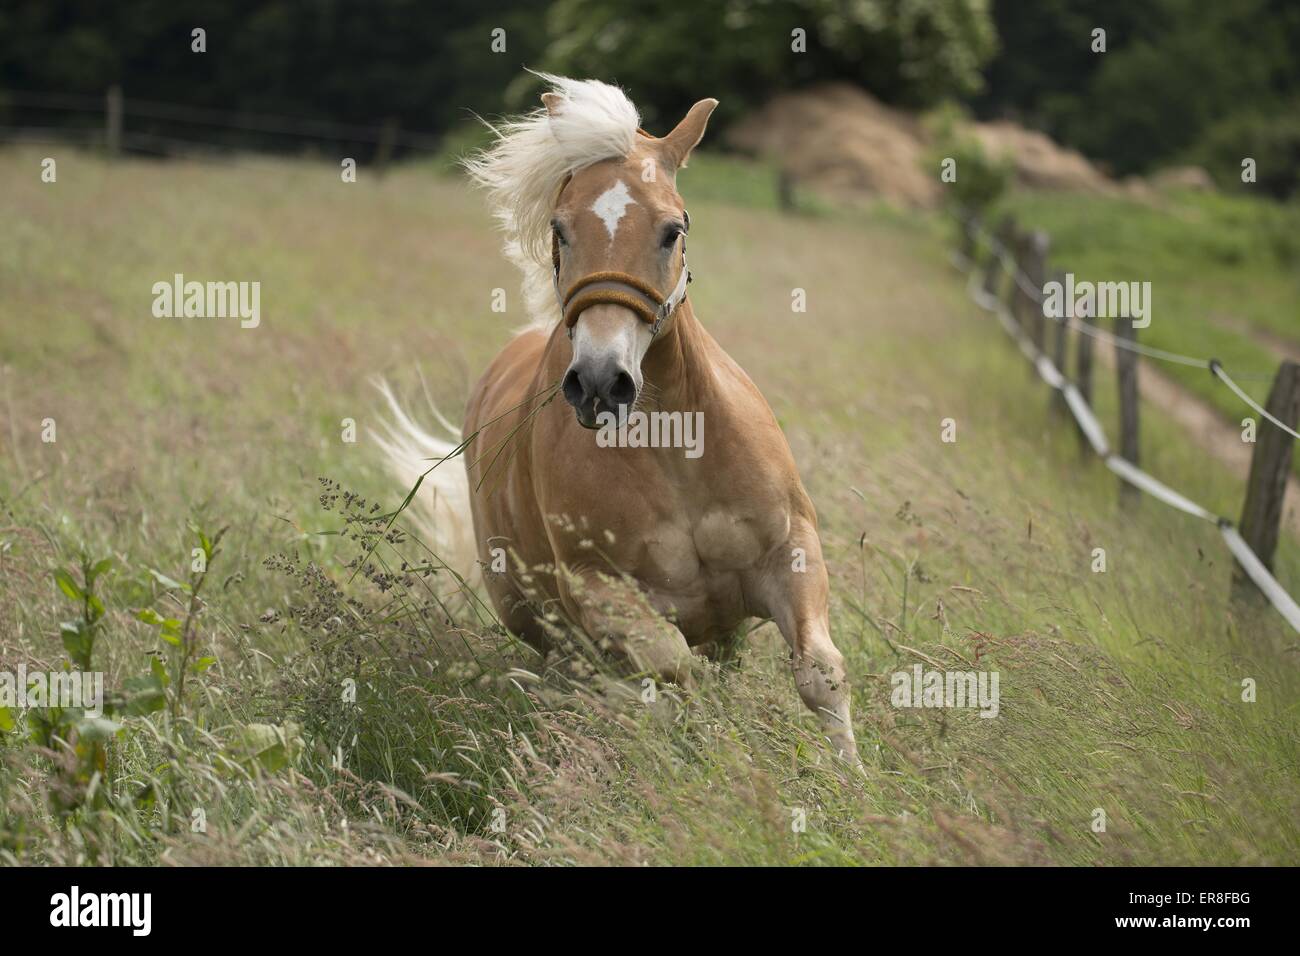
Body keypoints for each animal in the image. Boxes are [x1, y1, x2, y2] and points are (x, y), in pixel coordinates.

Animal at [379, 72, 863, 764]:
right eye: (560, 229)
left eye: (673, 228)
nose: (601, 383)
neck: (676, 449)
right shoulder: (599, 590)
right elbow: (671, 670)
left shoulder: (789, 553)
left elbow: (820, 673)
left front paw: (849, 779)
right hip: (539, 622)